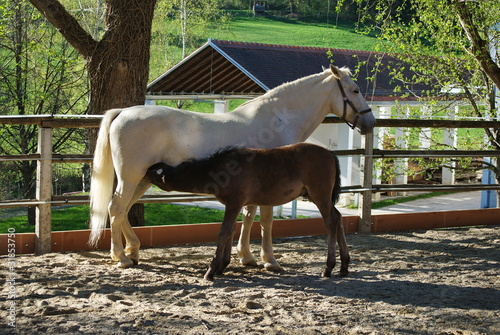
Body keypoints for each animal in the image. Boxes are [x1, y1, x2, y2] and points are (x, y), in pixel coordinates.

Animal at [89, 64, 376, 270]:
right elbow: (265, 220)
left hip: (143, 179)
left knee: (122, 210)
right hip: (131, 176)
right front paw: (269, 260)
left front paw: (246, 256)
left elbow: (248, 216)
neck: (277, 118)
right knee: (116, 208)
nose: (370, 122)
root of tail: (123, 112)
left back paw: (132, 250)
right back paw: (121, 257)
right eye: (354, 90)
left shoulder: (253, 189)